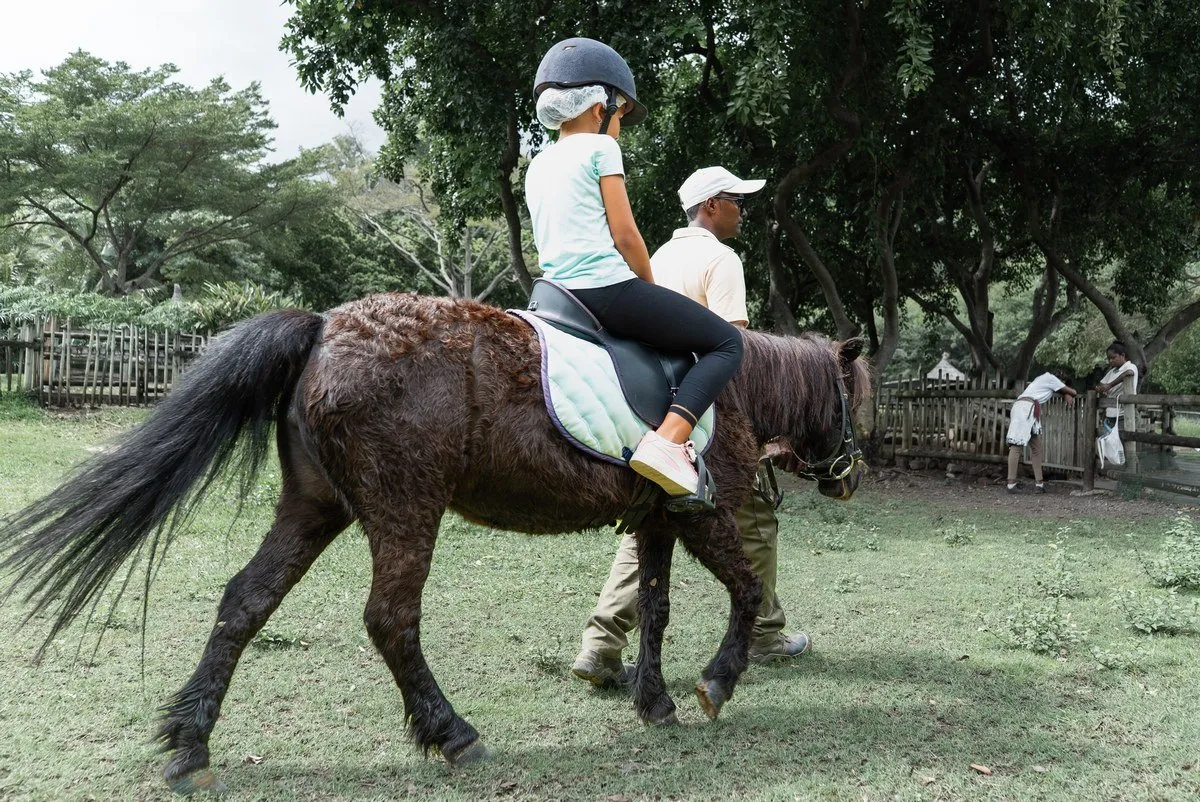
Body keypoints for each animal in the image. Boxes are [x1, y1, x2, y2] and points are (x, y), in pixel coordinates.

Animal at [0, 291, 869, 794]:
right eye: (853, 396)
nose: (849, 477)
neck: (731, 381)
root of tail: (324, 327)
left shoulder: (657, 519)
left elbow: (653, 611)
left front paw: (653, 701)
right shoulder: (701, 514)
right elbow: (747, 587)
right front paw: (718, 681)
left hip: (315, 505)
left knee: (246, 599)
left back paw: (189, 742)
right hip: (405, 506)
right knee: (390, 618)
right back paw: (454, 734)